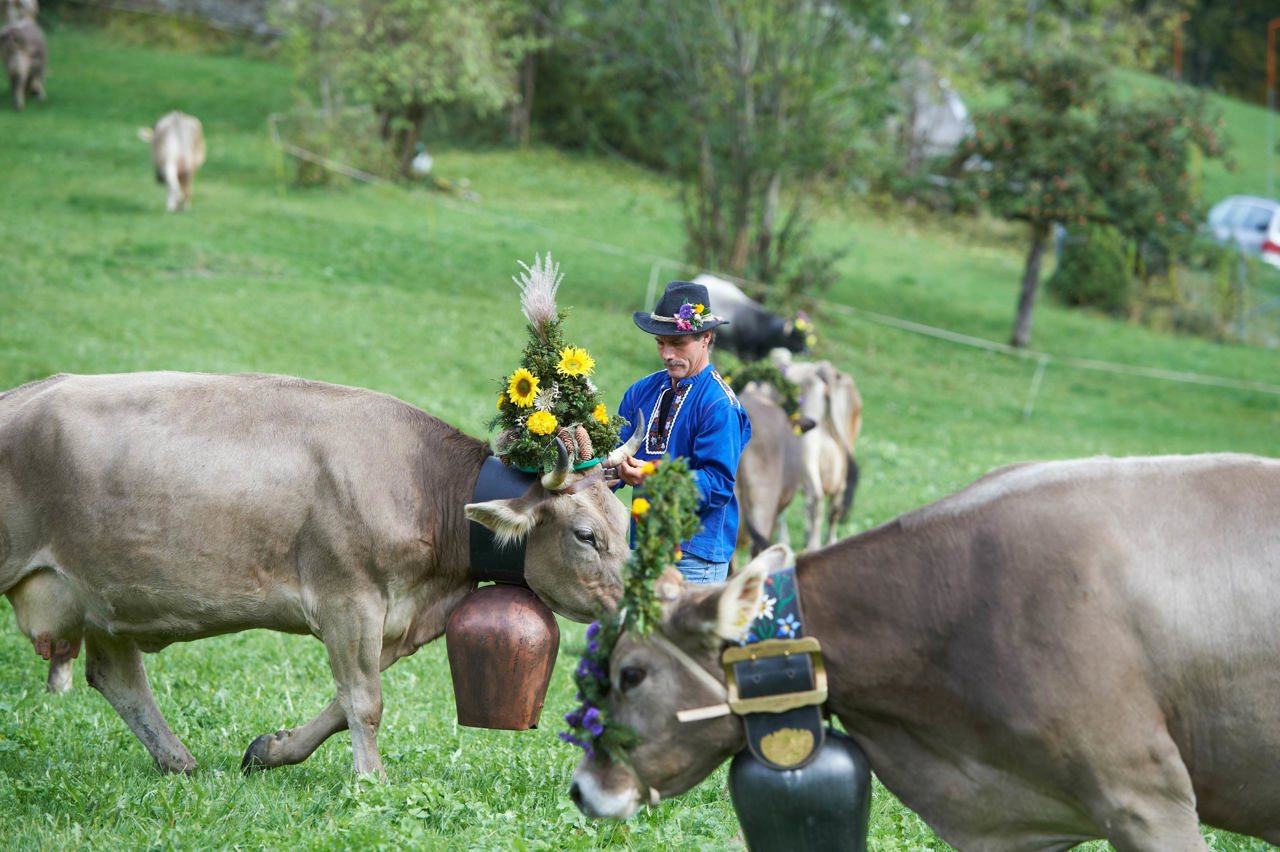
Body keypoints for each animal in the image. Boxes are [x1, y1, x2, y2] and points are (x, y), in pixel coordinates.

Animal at [0, 368, 640, 772]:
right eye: (586, 535)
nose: (644, 605)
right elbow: (365, 700)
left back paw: (179, 762)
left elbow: (345, 699)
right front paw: (371, 780)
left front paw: (271, 750)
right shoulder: (349, 599)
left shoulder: (391, 616)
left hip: (102, 594)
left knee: (118, 676)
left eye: (625, 524)